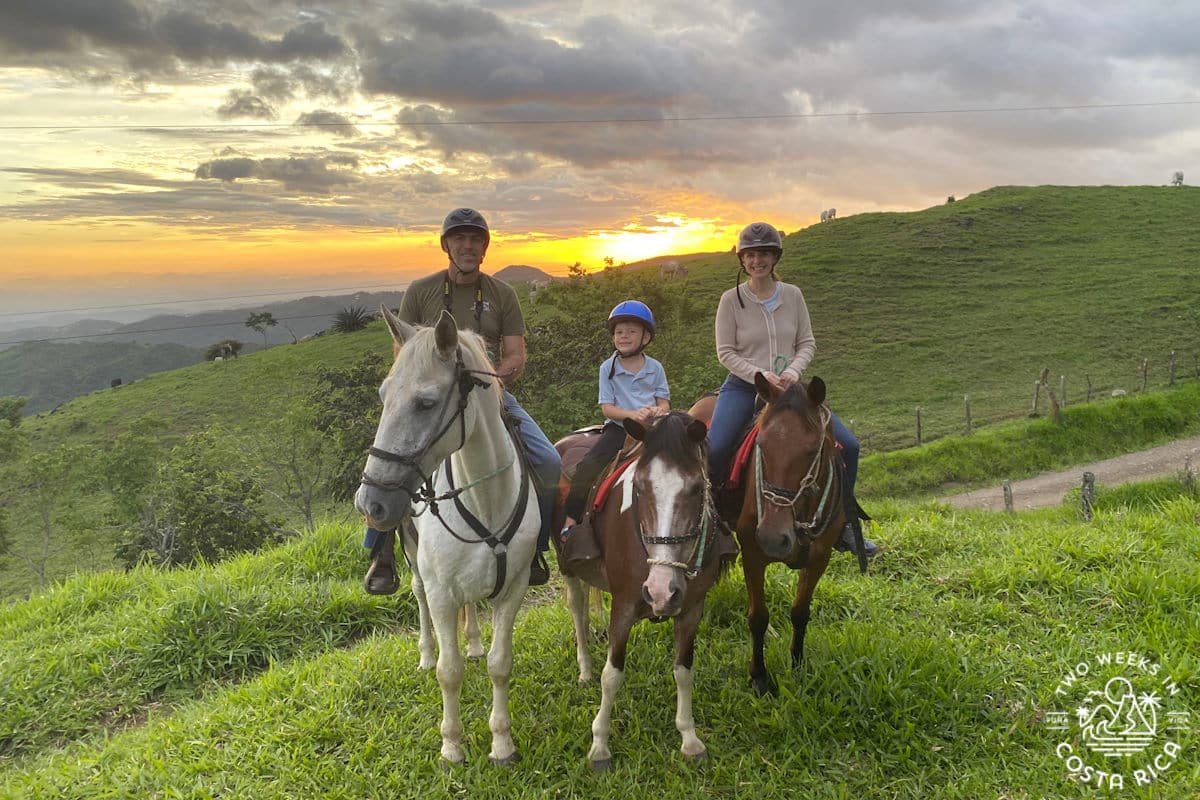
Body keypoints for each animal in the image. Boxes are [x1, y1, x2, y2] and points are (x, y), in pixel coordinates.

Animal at [355, 307, 540, 766]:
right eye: (383, 396)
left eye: (426, 403)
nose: (370, 503)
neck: (484, 499)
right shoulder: (440, 592)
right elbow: (449, 672)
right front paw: (452, 745)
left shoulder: (514, 587)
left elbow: (500, 664)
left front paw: (502, 743)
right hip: (413, 558)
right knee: (419, 597)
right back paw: (425, 653)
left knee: (470, 607)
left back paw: (472, 643)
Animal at [552, 412, 729, 770]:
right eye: (640, 487)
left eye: (696, 488)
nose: (661, 591)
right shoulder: (624, 605)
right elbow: (612, 675)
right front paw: (600, 745)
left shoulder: (691, 609)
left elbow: (684, 671)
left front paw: (689, 739)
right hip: (568, 566)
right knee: (577, 608)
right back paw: (584, 668)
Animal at [690, 373, 850, 696]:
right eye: (761, 445)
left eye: (812, 451)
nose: (774, 539)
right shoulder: (753, 555)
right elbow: (758, 618)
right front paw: (759, 677)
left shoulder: (820, 558)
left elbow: (800, 612)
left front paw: (797, 664)